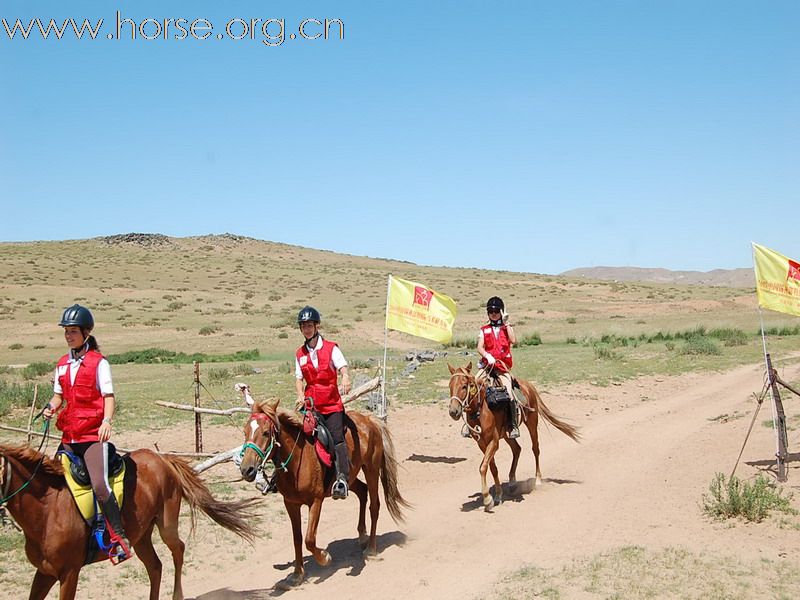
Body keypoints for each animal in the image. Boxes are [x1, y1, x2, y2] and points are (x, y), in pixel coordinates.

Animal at [0, 440, 256, 600]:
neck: (48, 507)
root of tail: (162, 458)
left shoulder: (69, 573)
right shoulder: (44, 573)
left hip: (166, 526)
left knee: (178, 550)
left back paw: (177, 594)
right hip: (140, 536)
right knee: (155, 566)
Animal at [241, 398, 410, 584]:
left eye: (265, 433)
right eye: (245, 432)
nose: (246, 469)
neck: (297, 459)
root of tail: (369, 419)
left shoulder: (316, 501)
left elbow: (309, 539)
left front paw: (324, 557)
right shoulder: (290, 503)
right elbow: (297, 538)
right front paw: (297, 574)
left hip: (371, 469)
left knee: (374, 506)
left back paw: (371, 549)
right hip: (349, 477)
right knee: (362, 491)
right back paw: (362, 536)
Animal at [446, 360, 580, 510]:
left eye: (464, 386)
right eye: (450, 386)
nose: (453, 411)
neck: (481, 408)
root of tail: (529, 385)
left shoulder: (494, 441)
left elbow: (483, 467)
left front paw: (487, 499)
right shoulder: (481, 443)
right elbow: (492, 468)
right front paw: (497, 495)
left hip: (532, 423)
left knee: (535, 449)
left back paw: (538, 480)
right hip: (507, 433)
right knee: (517, 449)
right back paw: (512, 481)